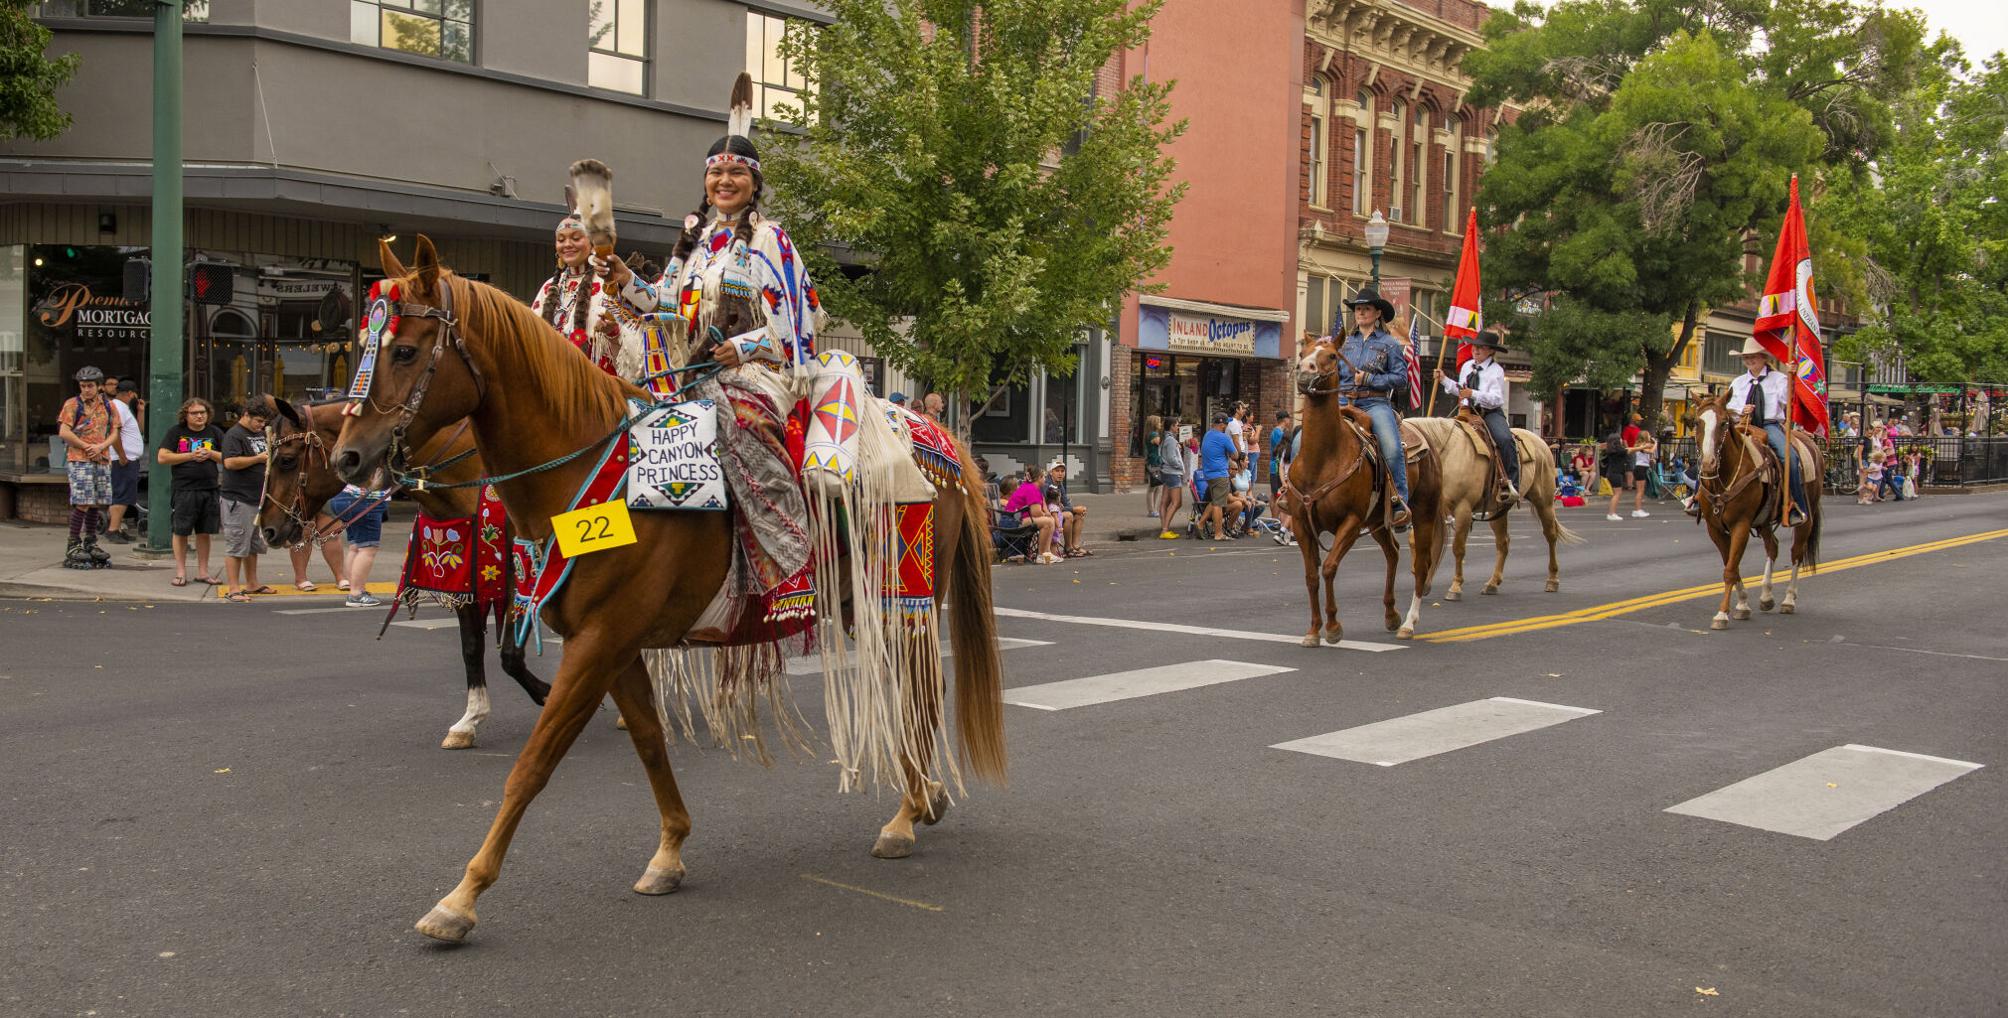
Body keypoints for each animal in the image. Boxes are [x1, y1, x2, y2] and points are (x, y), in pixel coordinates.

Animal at [255, 397, 550, 750]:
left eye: (286, 461)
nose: (267, 530)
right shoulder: (465, 577)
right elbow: (471, 646)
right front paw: (469, 721)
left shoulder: (519, 571)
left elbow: (510, 653)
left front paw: (549, 694)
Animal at [331, 240, 1012, 947]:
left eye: (406, 351)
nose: (347, 458)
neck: (590, 465)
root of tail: (939, 439)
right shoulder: (613, 643)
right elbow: (649, 741)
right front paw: (669, 852)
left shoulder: (599, 643)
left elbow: (532, 766)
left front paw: (461, 898)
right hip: (864, 607)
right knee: (912, 689)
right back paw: (925, 798)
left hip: (900, 600)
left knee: (921, 689)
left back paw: (908, 813)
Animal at [1285, 337, 1445, 646]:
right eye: (1303, 353)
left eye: (1332, 356)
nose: (1305, 373)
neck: (1323, 458)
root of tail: (1428, 443)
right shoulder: (1301, 524)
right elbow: (1311, 576)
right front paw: (1313, 630)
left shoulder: (1351, 521)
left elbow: (1329, 567)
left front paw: (1333, 627)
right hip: (1378, 522)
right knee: (1393, 553)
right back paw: (1391, 614)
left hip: (1424, 514)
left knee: (1421, 565)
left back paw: (1408, 623)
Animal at [1397, 417, 1582, 602]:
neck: (1448, 453)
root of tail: (1541, 442)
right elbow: (1419, 542)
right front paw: (1424, 583)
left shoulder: (1463, 509)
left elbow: (1458, 548)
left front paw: (1455, 587)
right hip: (1497, 511)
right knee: (1503, 542)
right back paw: (1492, 583)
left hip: (1544, 502)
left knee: (1551, 536)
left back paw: (1552, 580)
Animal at [1694, 389, 1823, 630]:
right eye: (1697, 422)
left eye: (1724, 423)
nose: (1707, 463)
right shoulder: (1714, 529)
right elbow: (1732, 566)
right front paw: (1743, 604)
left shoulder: (1741, 525)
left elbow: (1730, 569)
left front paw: (1722, 614)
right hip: (1763, 521)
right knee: (1773, 547)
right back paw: (1766, 595)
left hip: (1806, 517)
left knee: (1796, 553)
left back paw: (1788, 600)